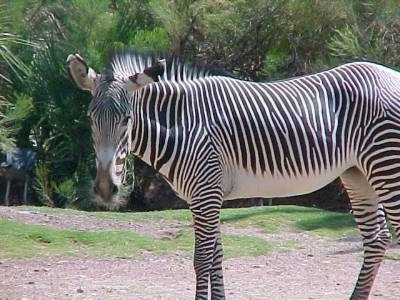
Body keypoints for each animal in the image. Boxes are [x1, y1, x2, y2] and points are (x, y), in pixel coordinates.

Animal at [67, 50, 398, 298]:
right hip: (357, 174)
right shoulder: (206, 196)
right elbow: (217, 257)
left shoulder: (205, 194)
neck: (184, 124)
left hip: (386, 166)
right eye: (90, 119)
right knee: (377, 238)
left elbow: (202, 260)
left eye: (127, 119)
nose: (106, 189)